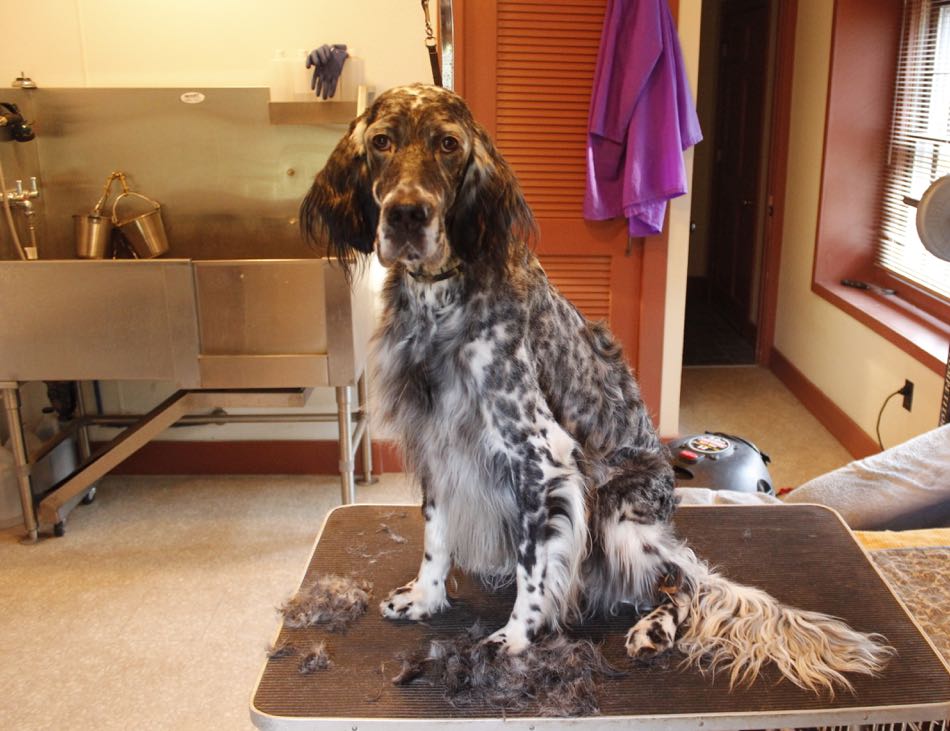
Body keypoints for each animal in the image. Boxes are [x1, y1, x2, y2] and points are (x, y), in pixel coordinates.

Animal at [304, 83, 892, 696]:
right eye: (381, 141)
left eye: (447, 144)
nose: (406, 214)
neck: (439, 302)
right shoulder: (438, 445)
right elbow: (436, 538)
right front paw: (425, 598)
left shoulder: (543, 462)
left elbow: (534, 569)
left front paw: (514, 640)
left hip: (616, 518)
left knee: (684, 581)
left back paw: (654, 630)